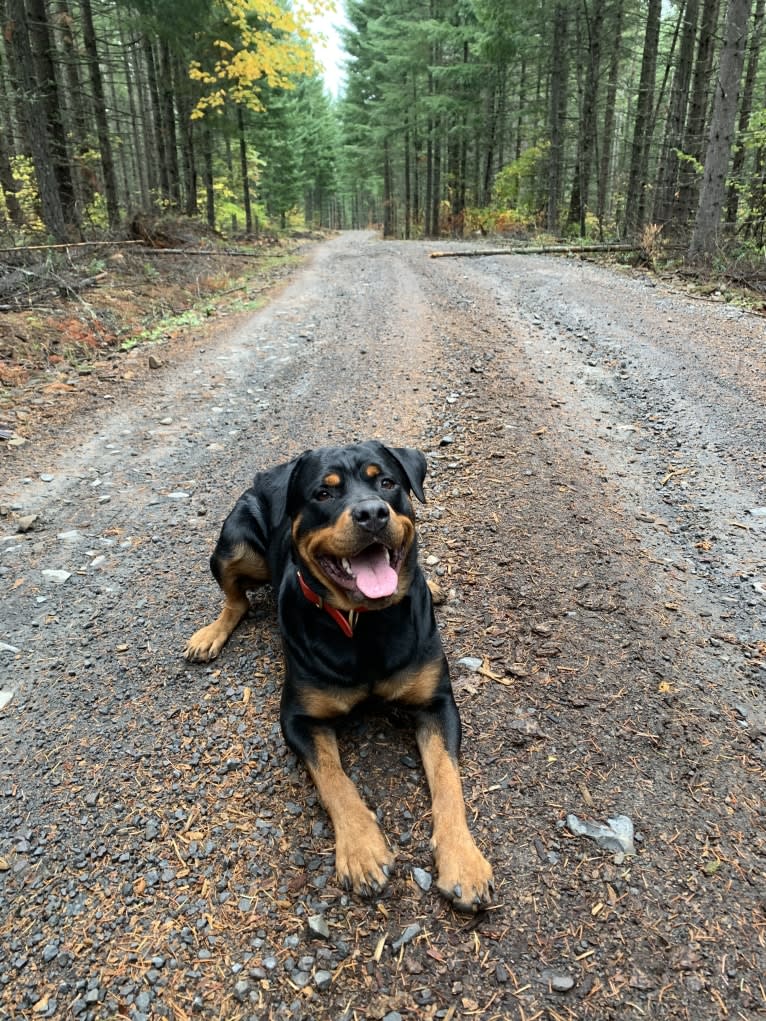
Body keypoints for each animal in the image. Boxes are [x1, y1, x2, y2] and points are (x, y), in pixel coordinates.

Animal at [188, 439, 494, 910]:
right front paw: (362, 850)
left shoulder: (437, 703)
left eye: (386, 483)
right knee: (235, 599)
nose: (372, 513)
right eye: (323, 493)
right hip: (232, 544)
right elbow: (334, 780)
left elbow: (447, 778)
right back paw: (210, 634)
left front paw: (463, 860)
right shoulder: (299, 718)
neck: (364, 623)